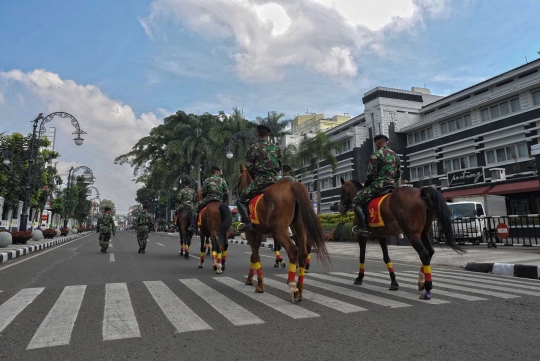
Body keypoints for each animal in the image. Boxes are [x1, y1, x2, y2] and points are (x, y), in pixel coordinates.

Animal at [238, 165, 332, 302]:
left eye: (239, 179)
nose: (237, 191)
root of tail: (291, 185)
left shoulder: (250, 232)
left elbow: (255, 256)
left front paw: (259, 284)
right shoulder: (259, 233)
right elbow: (253, 256)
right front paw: (250, 279)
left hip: (279, 230)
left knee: (293, 250)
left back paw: (292, 286)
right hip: (299, 227)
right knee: (303, 253)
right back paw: (300, 288)